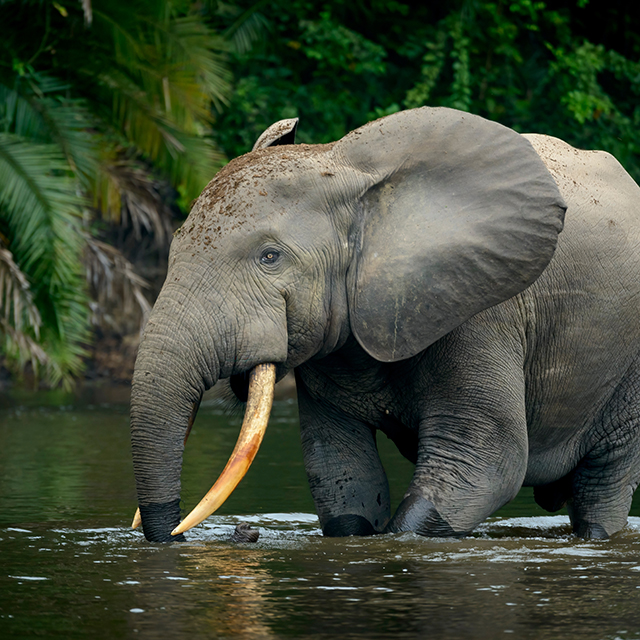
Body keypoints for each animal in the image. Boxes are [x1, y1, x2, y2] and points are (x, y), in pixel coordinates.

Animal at [129, 107, 640, 544]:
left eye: (270, 257)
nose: (175, 534)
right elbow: (341, 471)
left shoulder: (482, 313)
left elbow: (486, 461)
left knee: (603, 483)